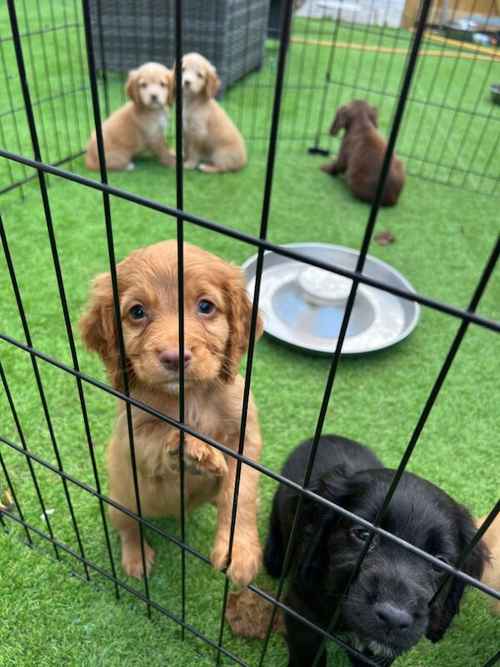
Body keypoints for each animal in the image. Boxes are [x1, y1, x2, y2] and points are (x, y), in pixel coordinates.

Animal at [79, 243, 262, 588]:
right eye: (137, 312)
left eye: (206, 306)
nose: (174, 357)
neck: (190, 397)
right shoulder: (133, 435)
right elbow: (162, 434)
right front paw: (195, 450)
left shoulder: (246, 436)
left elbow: (240, 493)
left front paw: (239, 550)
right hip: (120, 501)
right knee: (128, 527)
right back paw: (136, 559)